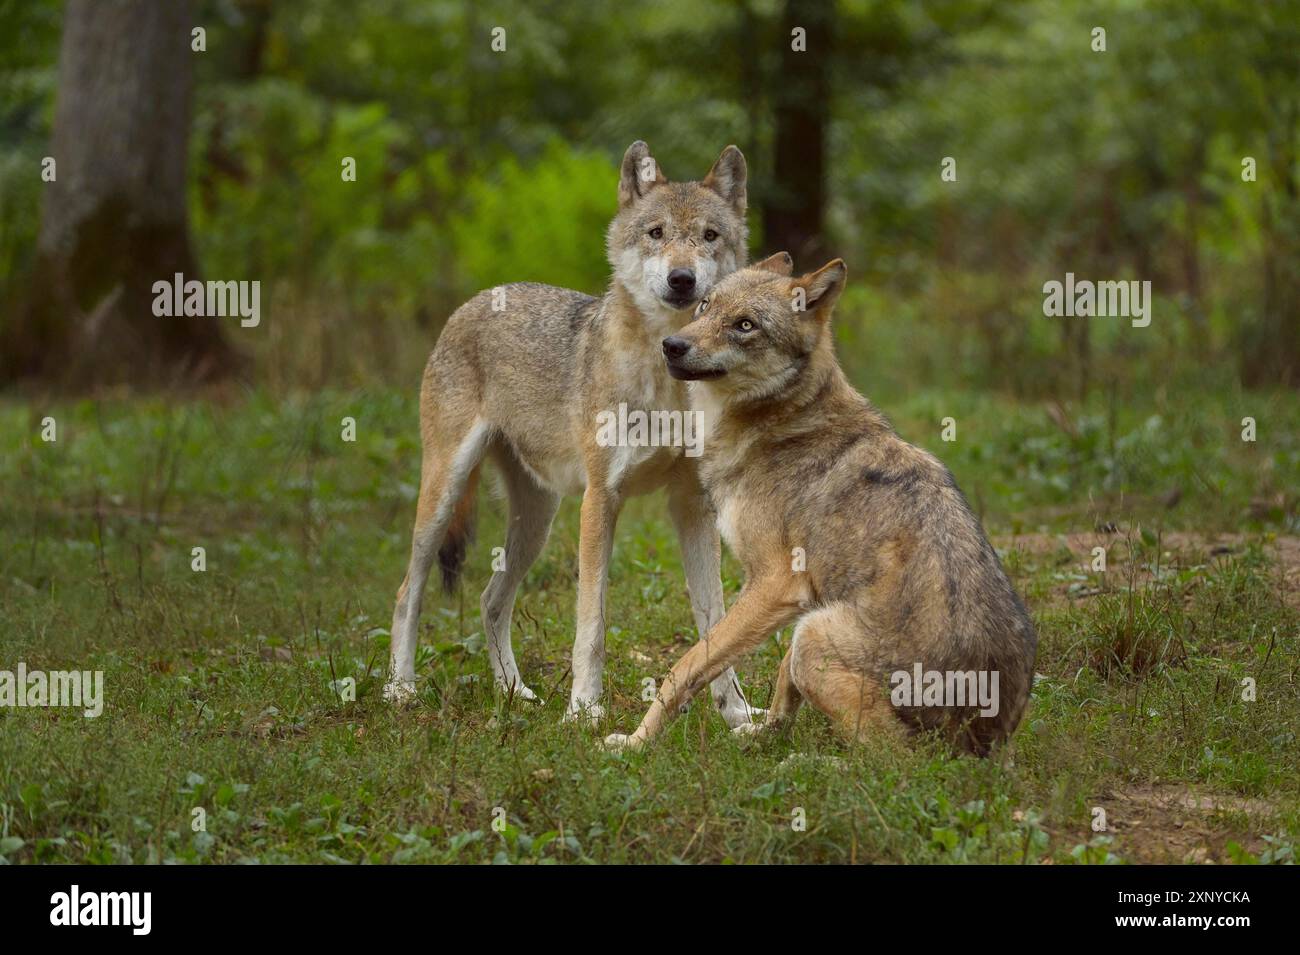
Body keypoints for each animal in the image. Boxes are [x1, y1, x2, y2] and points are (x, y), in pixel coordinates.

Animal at [384, 140, 759, 722]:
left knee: (491, 601)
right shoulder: (601, 500)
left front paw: (739, 717)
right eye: (656, 233)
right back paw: (401, 689)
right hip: (445, 497)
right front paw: (584, 711)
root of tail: (478, 297)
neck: (668, 381)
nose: (682, 279)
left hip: (537, 520)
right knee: (408, 592)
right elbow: (592, 626)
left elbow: (715, 628)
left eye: (709, 236)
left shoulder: (692, 505)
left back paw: (514, 692)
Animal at [600, 255, 1034, 753]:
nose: (672, 346)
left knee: (892, 757)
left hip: (814, 634)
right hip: (812, 625)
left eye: (745, 325)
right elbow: (770, 679)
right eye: (706, 306)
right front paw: (756, 729)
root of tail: (981, 741)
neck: (779, 421)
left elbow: (685, 666)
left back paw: (806, 761)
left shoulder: (775, 583)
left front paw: (636, 742)